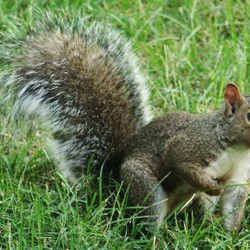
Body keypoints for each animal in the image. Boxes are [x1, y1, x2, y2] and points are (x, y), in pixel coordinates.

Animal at [3, 15, 250, 233]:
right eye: (249, 115)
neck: (236, 149)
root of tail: (115, 190)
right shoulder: (194, 144)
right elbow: (180, 160)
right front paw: (212, 187)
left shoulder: (239, 179)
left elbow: (232, 207)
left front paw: (230, 238)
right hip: (144, 185)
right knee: (150, 220)